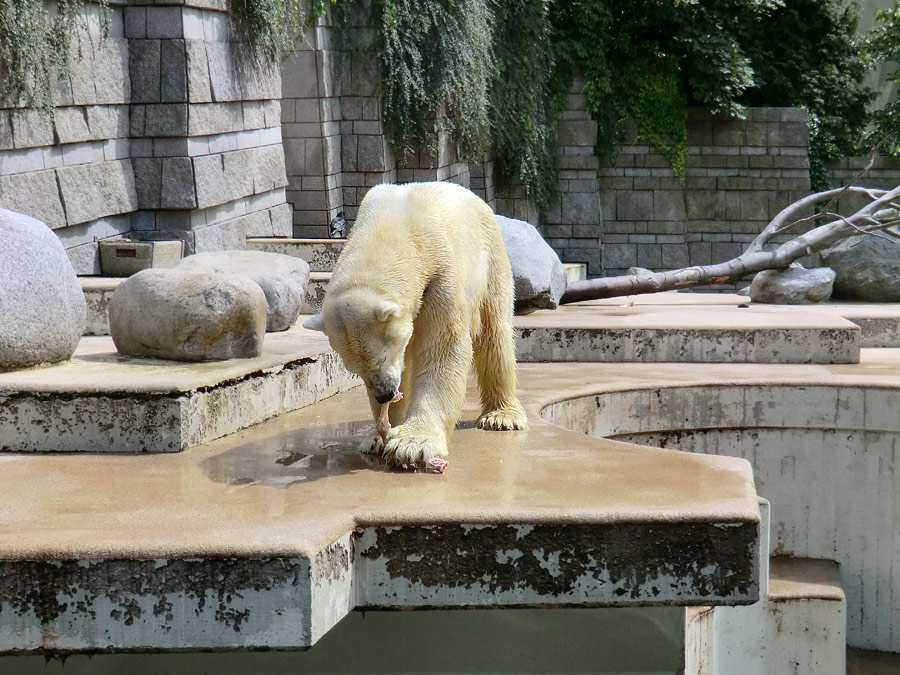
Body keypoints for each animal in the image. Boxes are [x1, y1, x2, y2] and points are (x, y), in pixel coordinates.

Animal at [302, 182, 528, 468]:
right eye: (353, 369)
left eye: (380, 358)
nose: (384, 394)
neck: (392, 228)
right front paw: (378, 438)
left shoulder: (440, 274)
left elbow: (443, 348)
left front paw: (413, 443)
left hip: (490, 260)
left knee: (494, 333)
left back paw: (502, 416)